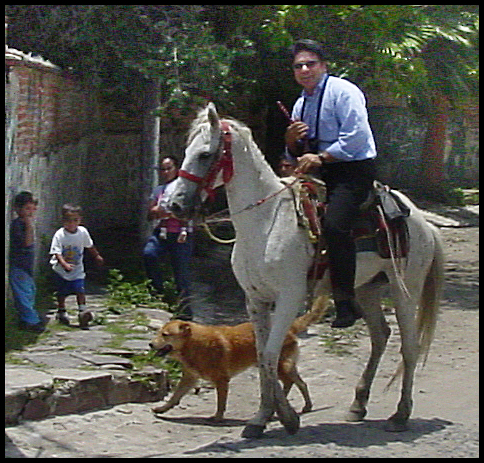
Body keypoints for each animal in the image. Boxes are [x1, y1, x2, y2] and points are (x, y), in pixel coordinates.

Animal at [149, 296, 328, 422]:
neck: (193, 344)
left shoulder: (221, 380)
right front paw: (162, 408)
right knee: (288, 384)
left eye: (165, 335)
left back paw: (305, 406)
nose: (150, 344)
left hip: (282, 367)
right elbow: (175, 396)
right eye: (158, 333)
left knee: (301, 384)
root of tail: (288, 328)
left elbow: (221, 402)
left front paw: (218, 417)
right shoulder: (189, 378)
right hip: (275, 368)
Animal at [168, 102, 444, 438]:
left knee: (409, 346)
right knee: (380, 336)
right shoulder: (255, 299)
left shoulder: (289, 297)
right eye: (187, 152)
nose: (174, 205)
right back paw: (358, 404)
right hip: (367, 288)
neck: (265, 222)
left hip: (405, 289)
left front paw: (284, 416)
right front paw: (264, 415)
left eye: (205, 154)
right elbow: (262, 354)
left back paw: (401, 414)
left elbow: (271, 354)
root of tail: (422, 221)